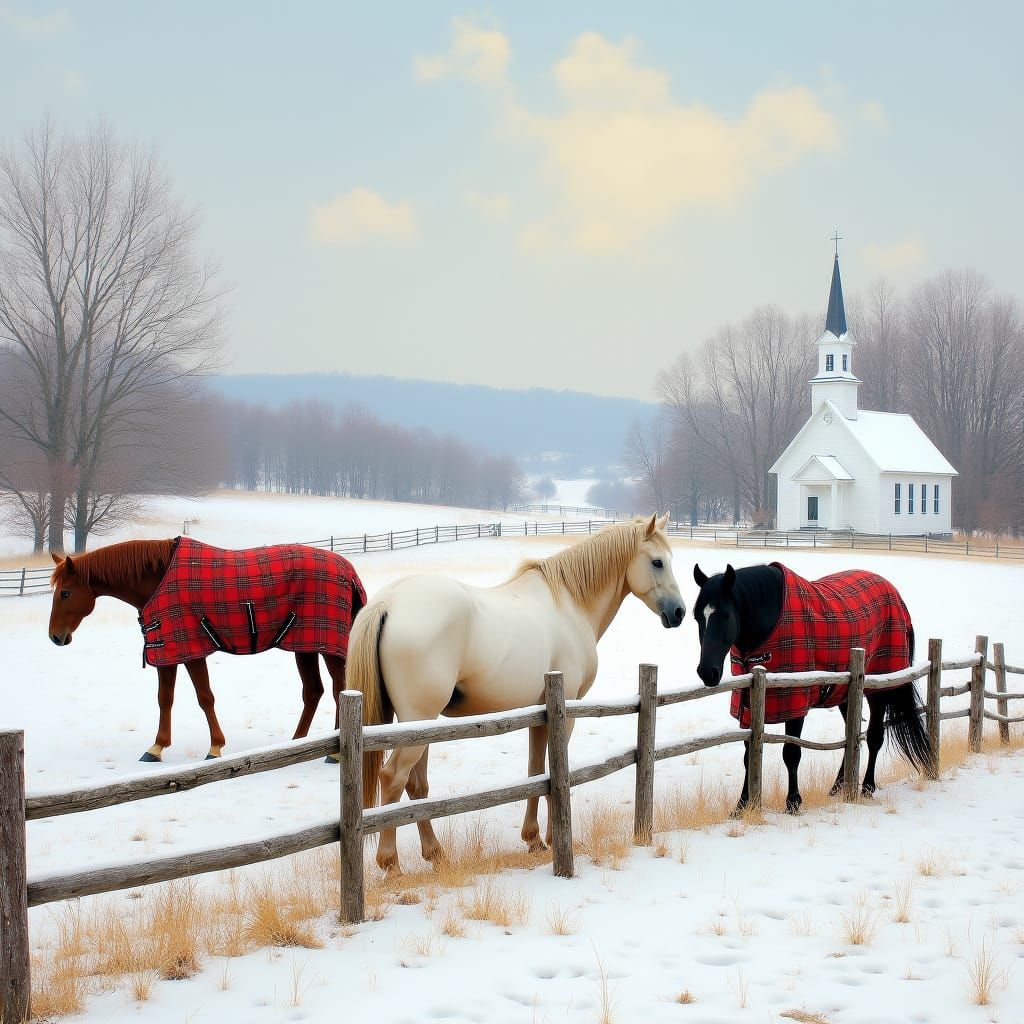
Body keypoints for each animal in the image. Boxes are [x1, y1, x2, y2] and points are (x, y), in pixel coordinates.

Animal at [48, 537, 365, 762]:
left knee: (339, 689)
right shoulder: (167, 651)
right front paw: (157, 747)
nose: (55, 637)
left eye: (65, 593)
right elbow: (165, 698)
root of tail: (347, 569)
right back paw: (298, 743)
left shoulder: (191, 649)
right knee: (313, 691)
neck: (159, 579)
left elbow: (205, 697)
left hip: (328, 648)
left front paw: (215, 747)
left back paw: (334, 753)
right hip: (304, 645)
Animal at [348, 513, 685, 875]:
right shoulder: (566, 711)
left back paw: (435, 853)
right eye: (657, 562)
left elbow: (537, 772)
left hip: (415, 726)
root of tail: (389, 603)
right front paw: (552, 838)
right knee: (393, 779)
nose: (679, 612)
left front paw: (533, 839)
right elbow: (554, 770)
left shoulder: (540, 715)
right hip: (418, 722)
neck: (569, 604)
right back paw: (391, 863)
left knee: (415, 785)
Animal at [692, 561, 932, 815]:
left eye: (726, 615)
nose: (707, 672)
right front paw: (743, 805)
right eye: (697, 617)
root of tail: (895, 594)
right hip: (845, 693)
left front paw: (793, 801)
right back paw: (838, 785)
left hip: (879, 688)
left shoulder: (796, 703)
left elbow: (791, 753)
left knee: (875, 736)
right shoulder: (748, 705)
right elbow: (749, 754)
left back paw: (867, 786)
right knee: (851, 735)